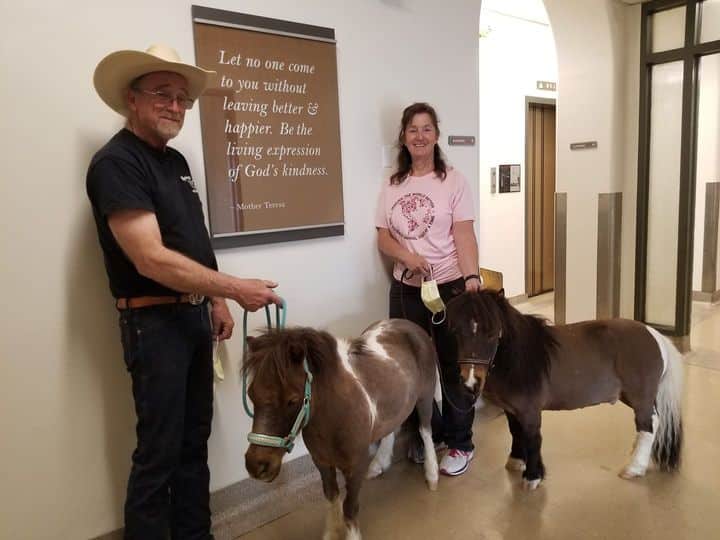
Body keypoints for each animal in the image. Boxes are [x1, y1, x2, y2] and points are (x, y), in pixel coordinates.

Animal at [242, 318, 438, 540]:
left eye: (292, 400)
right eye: (251, 394)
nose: (257, 465)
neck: (332, 418)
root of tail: (408, 324)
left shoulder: (355, 466)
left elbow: (349, 508)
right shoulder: (322, 463)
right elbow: (331, 496)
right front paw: (332, 532)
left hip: (425, 398)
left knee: (425, 431)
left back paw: (432, 476)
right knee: (391, 428)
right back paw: (379, 464)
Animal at [448, 292, 684, 490]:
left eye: (491, 333)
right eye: (456, 331)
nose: (470, 381)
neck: (520, 359)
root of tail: (655, 335)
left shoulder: (529, 411)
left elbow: (532, 438)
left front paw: (533, 476)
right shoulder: (511, 409)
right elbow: (516, 432)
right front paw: (516, 460)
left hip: (640, 397)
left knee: (647, 426)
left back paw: (634, 467)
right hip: (630, 396)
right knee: (653, 422)